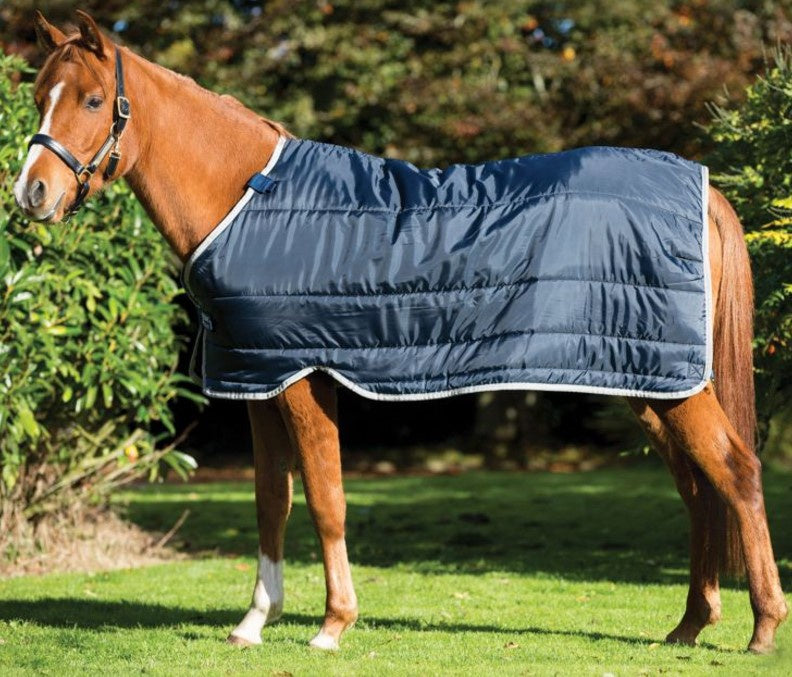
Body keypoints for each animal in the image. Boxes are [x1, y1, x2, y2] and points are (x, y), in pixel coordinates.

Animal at [13, 11, 786, 654]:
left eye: (91, 101)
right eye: (38, 94)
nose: (31, 194)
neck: (248, 199)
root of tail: (703, 189)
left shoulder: (302, 377)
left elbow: (325, 498)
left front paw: (333, 624)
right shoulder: (257, 378)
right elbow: (271, 502)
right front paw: (254, 621)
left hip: (672, 385)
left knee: (737, 473)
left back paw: (760, 629)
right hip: (645, 380)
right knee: (699, 487)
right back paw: (689, 625)